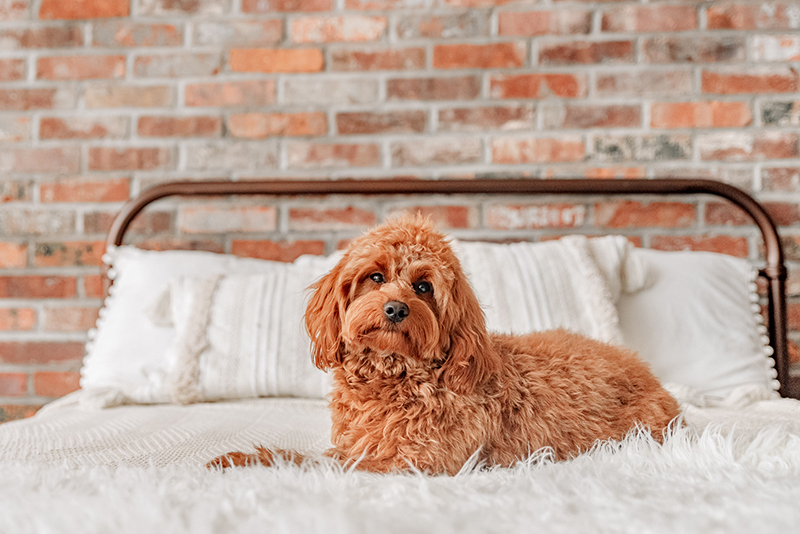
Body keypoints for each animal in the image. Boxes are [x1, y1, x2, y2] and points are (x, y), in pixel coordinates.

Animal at [208, 216, 680, 476]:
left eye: (423, 287)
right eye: (376, 277)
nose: (396, 308)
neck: (397, 375)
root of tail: (647, 372)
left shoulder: (416, 461)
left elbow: (314, 464)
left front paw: (250, 463)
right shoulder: (358, 446)